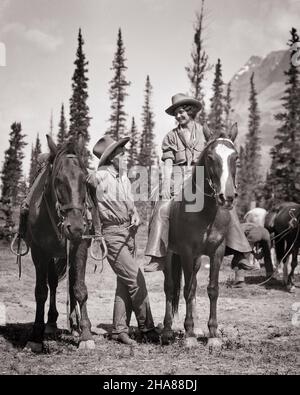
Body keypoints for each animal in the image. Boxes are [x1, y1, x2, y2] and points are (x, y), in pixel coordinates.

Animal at [24, 136, 95, 352]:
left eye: (85, 179)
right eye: (57, 180)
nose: (76, 227)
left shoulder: (80, 247)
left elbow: (79, 288)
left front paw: (85, 334)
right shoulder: (39, 253)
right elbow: (41, 291)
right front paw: (36, 335)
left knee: (71, 284)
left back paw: (74, 326)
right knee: (53, 284)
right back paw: (52, 323)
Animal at [162, 124, 239, 350]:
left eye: (236, 157)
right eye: (211, 157)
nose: (226, 197)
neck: (206, 213)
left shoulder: (216, 252)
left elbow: (212, 289)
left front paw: (212, 334)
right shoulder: (187, 252)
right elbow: (187, 289)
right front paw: (188, 335)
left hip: (195, 261)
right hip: (169, 255)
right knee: (170, 287)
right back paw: (168, 329)